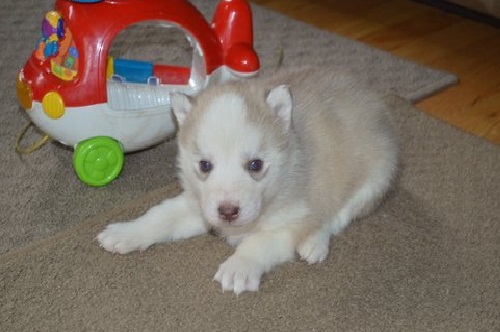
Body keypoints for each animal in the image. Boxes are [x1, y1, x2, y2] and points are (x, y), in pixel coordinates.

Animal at [97, 67, 398, 294]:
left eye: (256, 165)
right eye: (204, 165)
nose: (228, 211)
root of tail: (368, 95)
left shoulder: (290, 223)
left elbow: (259, 242)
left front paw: (239, 266)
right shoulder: (198, 205)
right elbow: (160, 216)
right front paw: (127, 232)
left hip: (374, 179)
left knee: (337, 216)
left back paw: (315, 243)